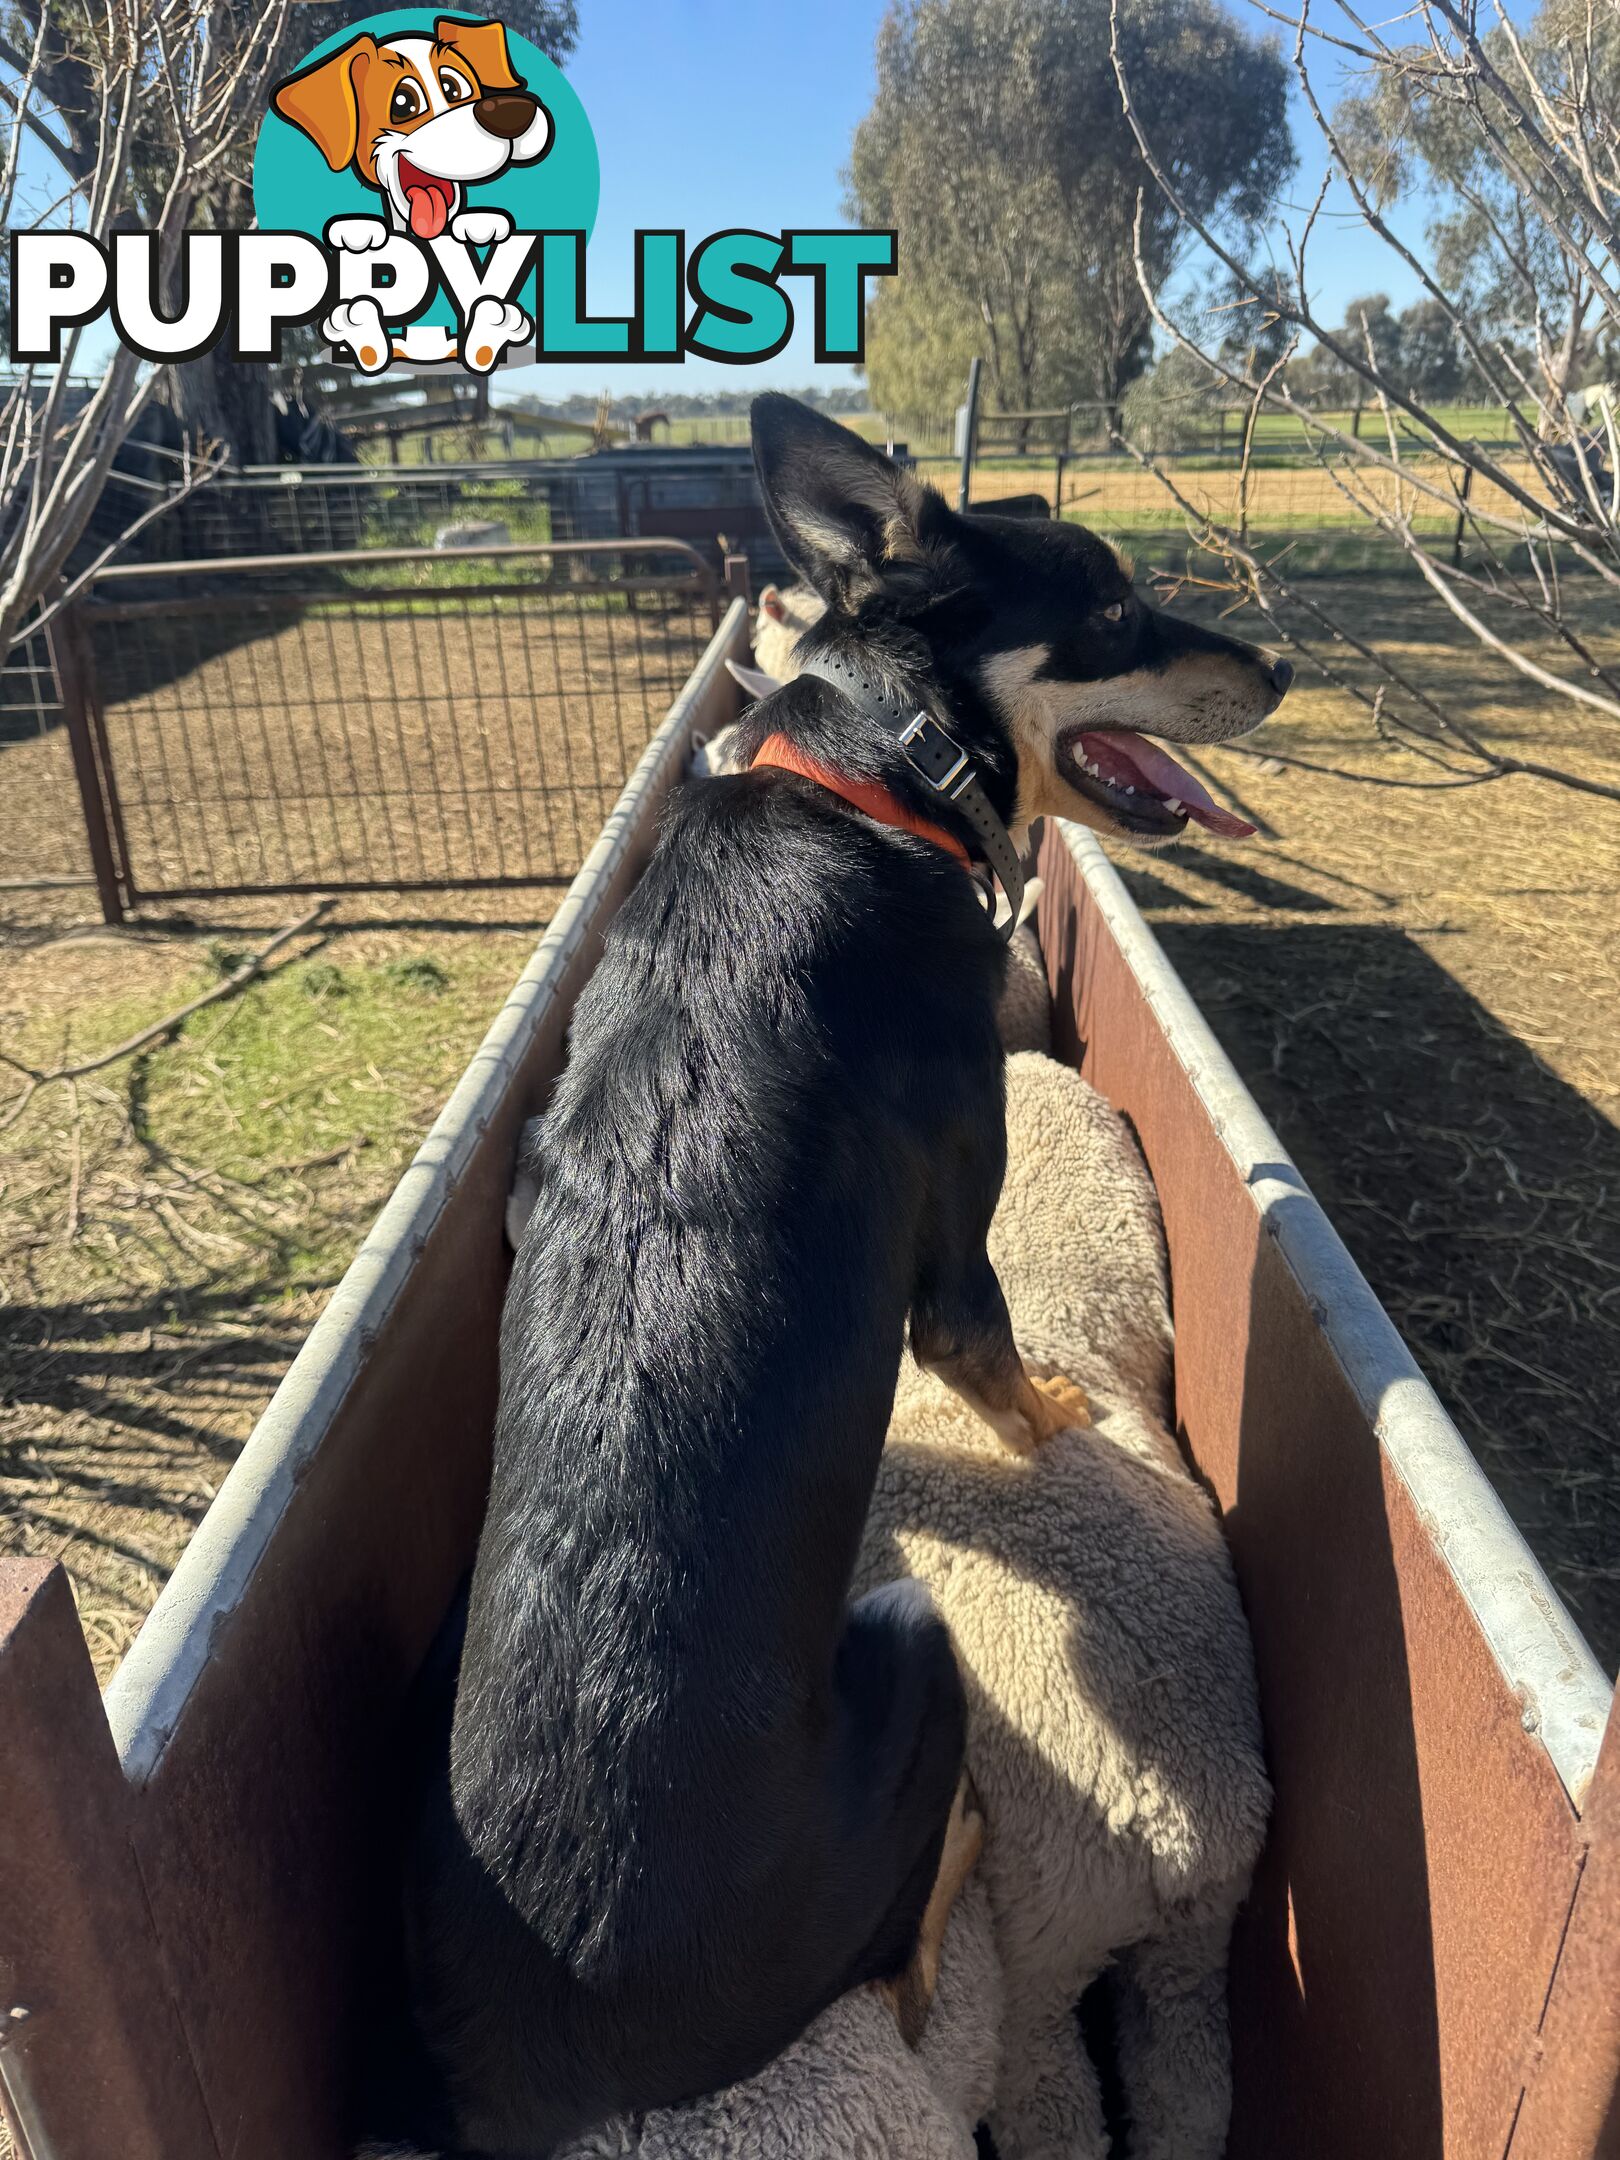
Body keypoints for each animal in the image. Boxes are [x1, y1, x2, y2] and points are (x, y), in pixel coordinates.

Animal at [371, 397, 1296, 2151]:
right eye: (1116, 613)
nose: (1279, 668)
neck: (868, 773)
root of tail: (550, 2078)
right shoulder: (956, 1244)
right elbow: (1003, 1377)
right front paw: (1065, 1418)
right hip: (914, 1642)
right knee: (922, 1945)